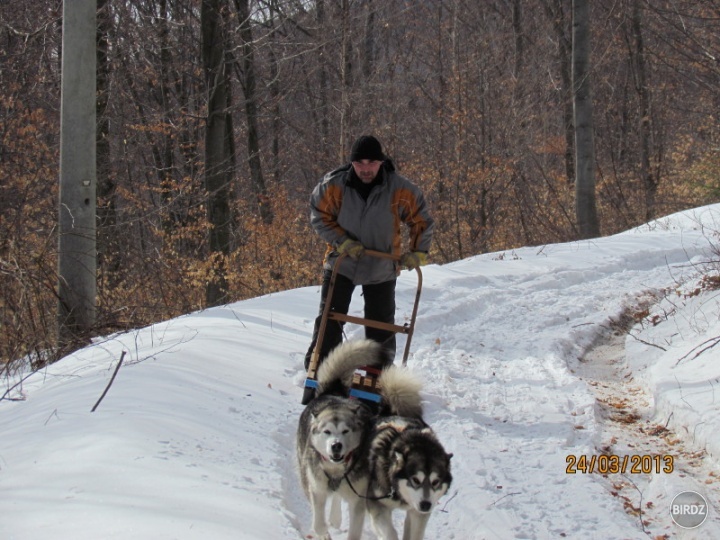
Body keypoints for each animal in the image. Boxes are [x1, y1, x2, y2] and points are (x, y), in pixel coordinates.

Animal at [366, 368, 456, 540]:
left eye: (435, 482)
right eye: (415, 480)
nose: (426, 505)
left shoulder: (417, 513)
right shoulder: (378, 507)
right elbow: (390, 533)